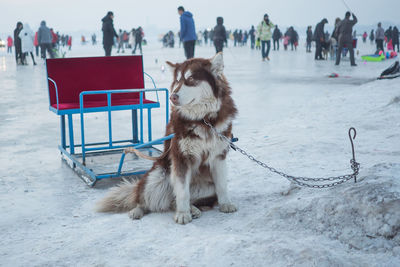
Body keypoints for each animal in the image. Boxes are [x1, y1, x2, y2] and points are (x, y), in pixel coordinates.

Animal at [96, 53, 238, 225]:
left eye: (191, 79)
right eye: (177, 80)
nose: (172, 97)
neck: (202, 120)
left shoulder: (219, 156)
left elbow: (222, 185)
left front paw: (225, 204)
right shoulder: (181, 157)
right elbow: (182, 192)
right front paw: (183, 214)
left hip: (207, 187)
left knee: (174, 201)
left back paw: (194, 209)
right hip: (156, 178)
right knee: (147, 200)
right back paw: (138, 210)